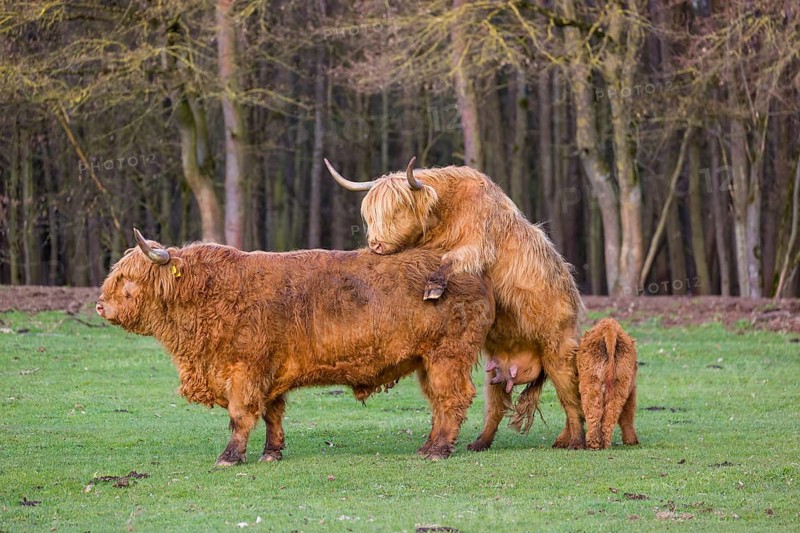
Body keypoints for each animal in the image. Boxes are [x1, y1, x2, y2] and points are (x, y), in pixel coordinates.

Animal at [96, 229, 495, 465]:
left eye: (128, 280)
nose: (100, 305)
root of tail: (470, 270)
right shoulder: (270, 372)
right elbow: (272, 414)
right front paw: (271, 453)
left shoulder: (246, 369)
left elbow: (240, 415)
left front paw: (230, 456)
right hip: (426, 360)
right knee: (438, 402)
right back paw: (428, 445)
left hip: (448, 355)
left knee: (452, 398)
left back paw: (439, 450)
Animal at [326, 158, 586, 449]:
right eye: (371, 215)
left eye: (398, 210)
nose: (376, 245)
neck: (444, 214)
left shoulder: (477, 244)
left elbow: (451, 258)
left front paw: (434, 287)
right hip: (496, 372)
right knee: (496, 407)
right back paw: (483, 443)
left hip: (557, 350)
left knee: (571, 400)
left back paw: (575, 441)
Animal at [577, 318, 639, 450]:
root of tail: (609, 327)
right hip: (615, 386)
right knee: (608, 412)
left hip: (593, 383)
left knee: (596, 411)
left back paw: (596, 444)